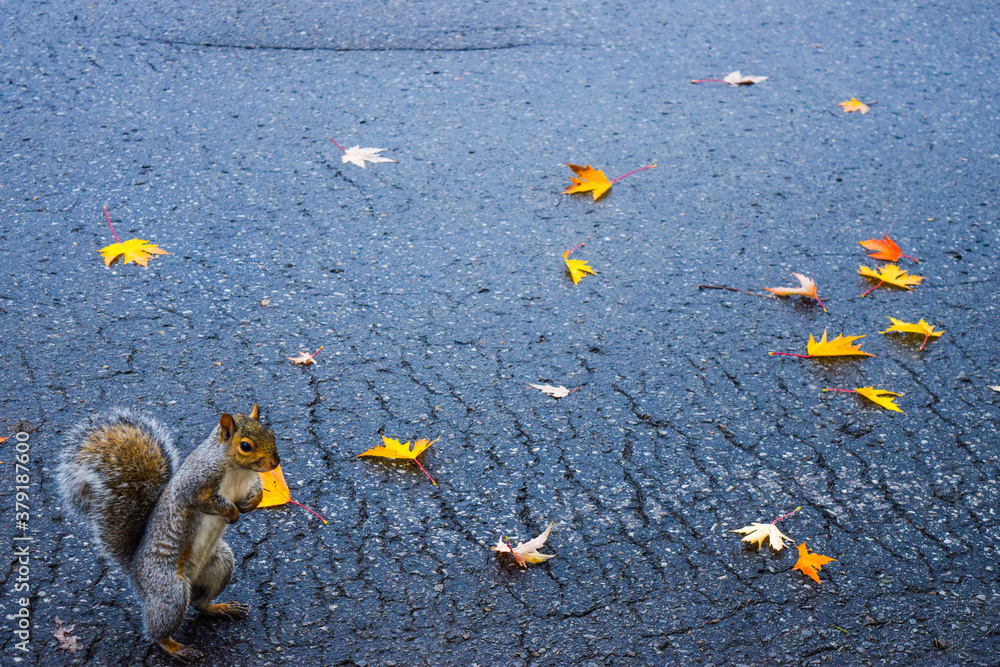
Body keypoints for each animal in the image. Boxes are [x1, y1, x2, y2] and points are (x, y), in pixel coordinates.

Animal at [58, 404, 280, 662]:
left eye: (271, 433)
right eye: (245, 445)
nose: (275, 463)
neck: (238, 471)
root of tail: (134, 570)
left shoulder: (248, 483)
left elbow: (257, 490)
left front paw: (251, 503)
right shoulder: (196, 483)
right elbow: (205, 501)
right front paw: (232, 512)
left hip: (220, 564)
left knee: (199, 604)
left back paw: (221, 608)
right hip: (169, 590)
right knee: (160, 630)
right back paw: (176, 647)